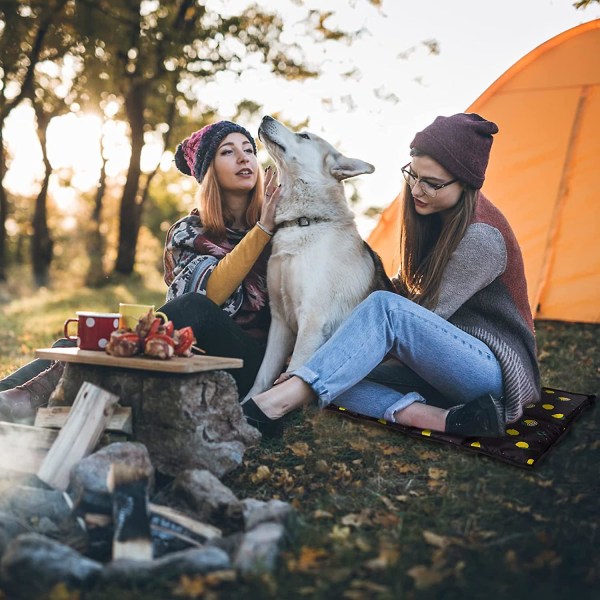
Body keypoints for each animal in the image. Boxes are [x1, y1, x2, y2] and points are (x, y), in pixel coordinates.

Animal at [244, 115, 394, 400]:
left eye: (304, 136)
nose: (266, 117)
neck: (305, 222)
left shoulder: (312, 322)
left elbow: (292, 371)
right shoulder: (279, 321)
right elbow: (261, 379)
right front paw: (247, 403)